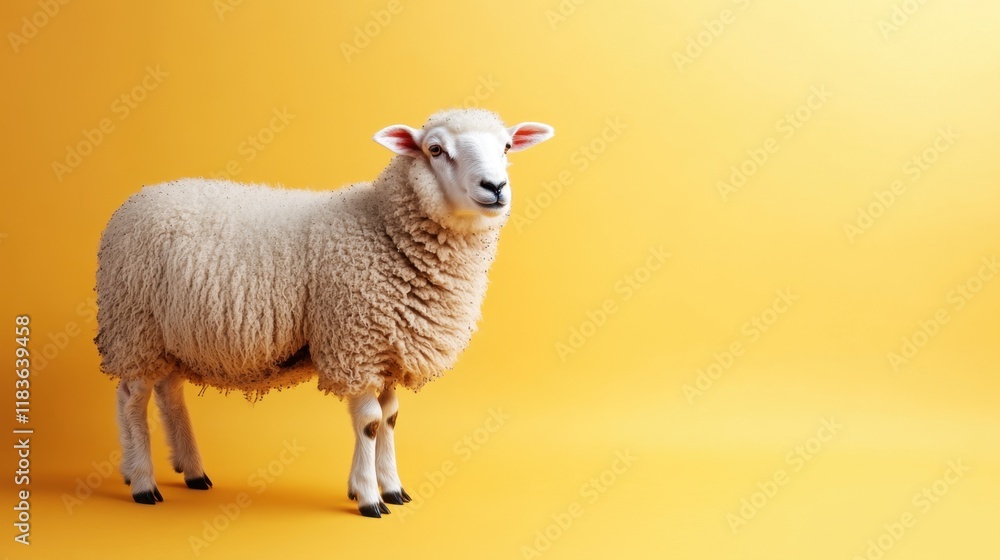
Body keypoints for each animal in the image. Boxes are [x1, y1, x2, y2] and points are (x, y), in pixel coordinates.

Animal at [95, 108, 553, 517]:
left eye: (507, 146)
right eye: (435, 149)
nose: (495, 186)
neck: (385, 228)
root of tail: (133, 203)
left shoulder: (388, 349)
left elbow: (390, 418)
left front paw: (392, 488)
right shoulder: (356, 342)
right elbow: (369, 422)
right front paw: (368, 497)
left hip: (169, 335)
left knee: (167, 393)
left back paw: (188, 470)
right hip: (134, 325)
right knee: (131, 400)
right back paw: (142, 481)